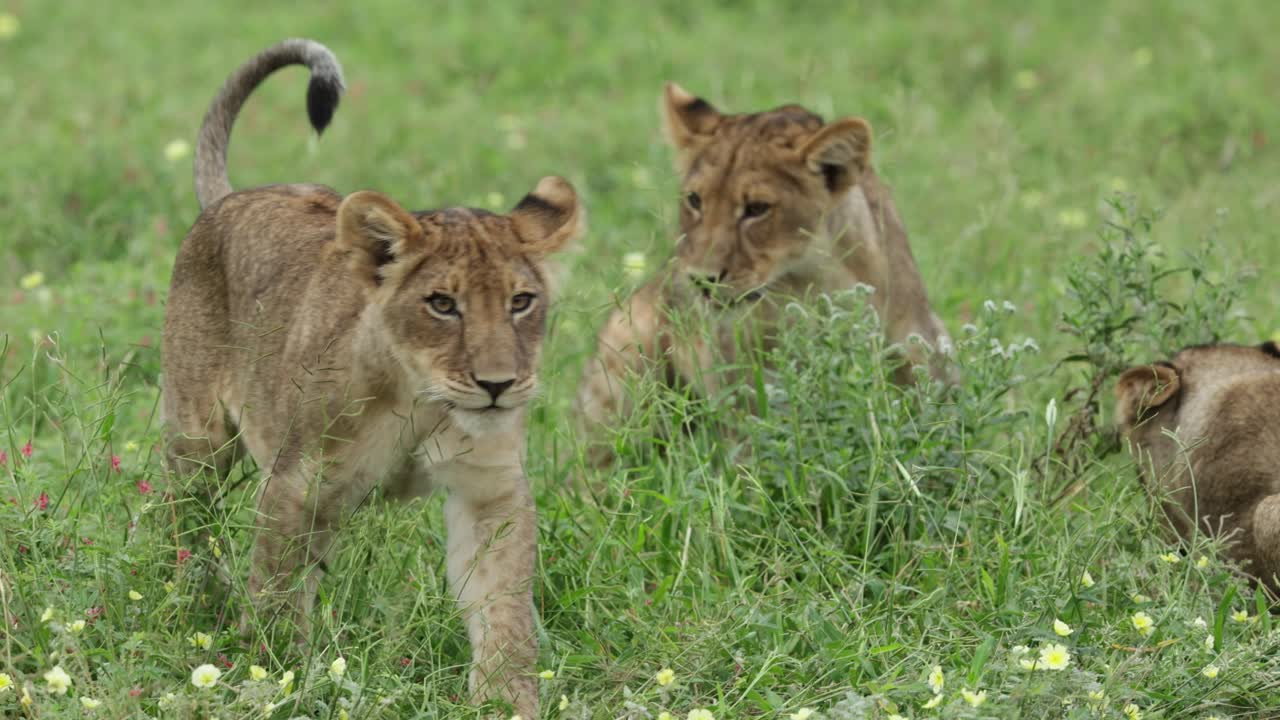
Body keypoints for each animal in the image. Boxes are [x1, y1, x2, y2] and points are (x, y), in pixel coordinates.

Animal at [161, 39, 581, 715]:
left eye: (521, 302)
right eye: (442, 304)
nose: (497, 385)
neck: (424, 399)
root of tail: (233, 196)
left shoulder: (490, 490)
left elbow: (503, 604)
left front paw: (505, 698)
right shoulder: (296, 483)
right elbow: (276, 594)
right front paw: (278, 676)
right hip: (198, 438)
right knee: (185, 520)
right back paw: (191, 597)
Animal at [574, 83, 953, 464]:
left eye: (757, 208)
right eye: (695, 200)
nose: (700, 280)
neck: (813, 283)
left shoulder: (920, 350)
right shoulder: (741, 390)